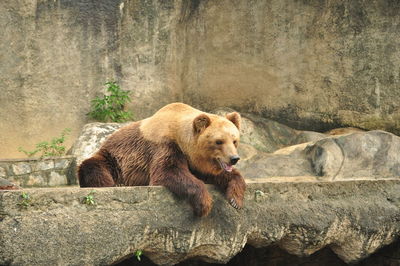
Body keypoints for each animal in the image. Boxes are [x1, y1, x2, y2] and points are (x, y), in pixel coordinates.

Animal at [77, 102, 245, 216]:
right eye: (219, 141)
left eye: (234, 140)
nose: (234, 158)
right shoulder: (164, 145)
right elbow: (168, 172)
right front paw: (204, 204)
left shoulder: (195, 162)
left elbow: (220, 175)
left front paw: (236, 200)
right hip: (112, 159)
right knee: (93, 167)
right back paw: (116, 184)